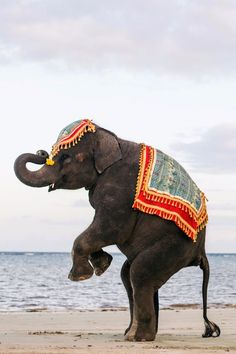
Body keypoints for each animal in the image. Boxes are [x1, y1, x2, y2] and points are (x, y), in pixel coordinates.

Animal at [13, 119, 220, 342]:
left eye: (66, 157)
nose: (41, 152)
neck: (114, 140)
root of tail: (201, 253)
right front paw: (102, 263)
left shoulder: (120, 189)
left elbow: (112, 228)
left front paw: (81, 276)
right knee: (129, 276)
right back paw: (134, 334)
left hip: (177, 247)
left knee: (139, 273)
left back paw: (137, 338)